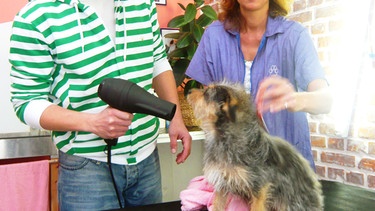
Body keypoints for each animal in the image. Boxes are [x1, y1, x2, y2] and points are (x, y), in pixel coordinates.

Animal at [187, 82, 324, 211]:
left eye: (206, 93)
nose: (188, 91)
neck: (224, 137)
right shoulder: (222, 184)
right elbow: (217, 205)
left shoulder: (260, 187)